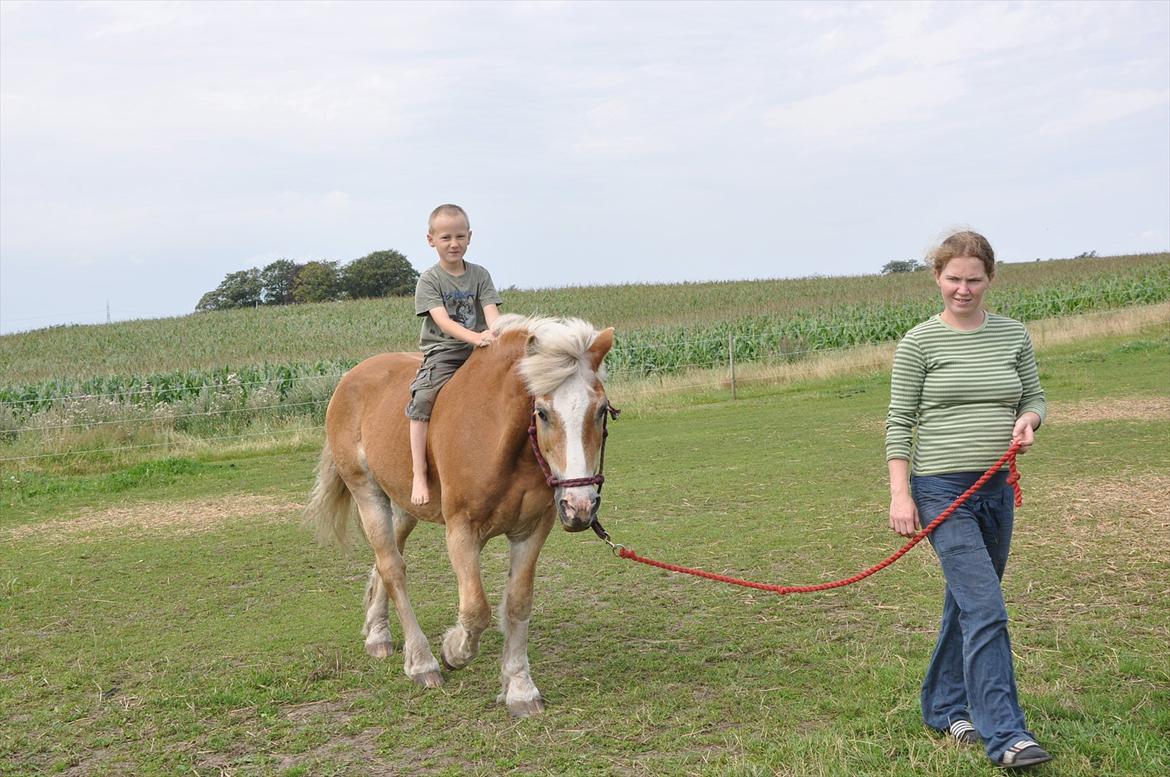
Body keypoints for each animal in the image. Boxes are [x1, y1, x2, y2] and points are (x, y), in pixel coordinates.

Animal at [306, 313, 617, 716]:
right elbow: (476, 609)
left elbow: (518, 603)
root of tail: (350, 379)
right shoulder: (462, 531)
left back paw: (377, 634)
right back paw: (422, 663)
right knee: (393, 568)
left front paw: (520, 688)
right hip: (367, 494)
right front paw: (453, 650)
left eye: (601, 410)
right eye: (543, 412)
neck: (500, 438)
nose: (579, 506)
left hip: (406, 506)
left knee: (386, 561)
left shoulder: (531, 530)